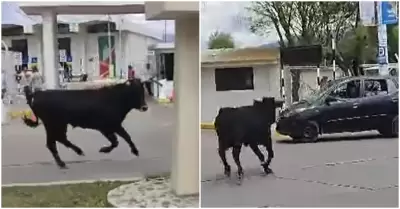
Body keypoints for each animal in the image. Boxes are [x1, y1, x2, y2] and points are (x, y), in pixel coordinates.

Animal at [21, 78, 156, 168]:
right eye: (134, 92)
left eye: (142, 90)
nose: (145, 107)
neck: (115, 98)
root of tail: (38, 93)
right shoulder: (108, 126)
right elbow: (118, 140)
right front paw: (105, 149)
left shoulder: (113, 126)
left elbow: (124, 137)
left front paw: (134, 151)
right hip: (52, 124)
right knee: (52, 143)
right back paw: (62, 163)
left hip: (59, 124)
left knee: (60, 139)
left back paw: (78, 151)